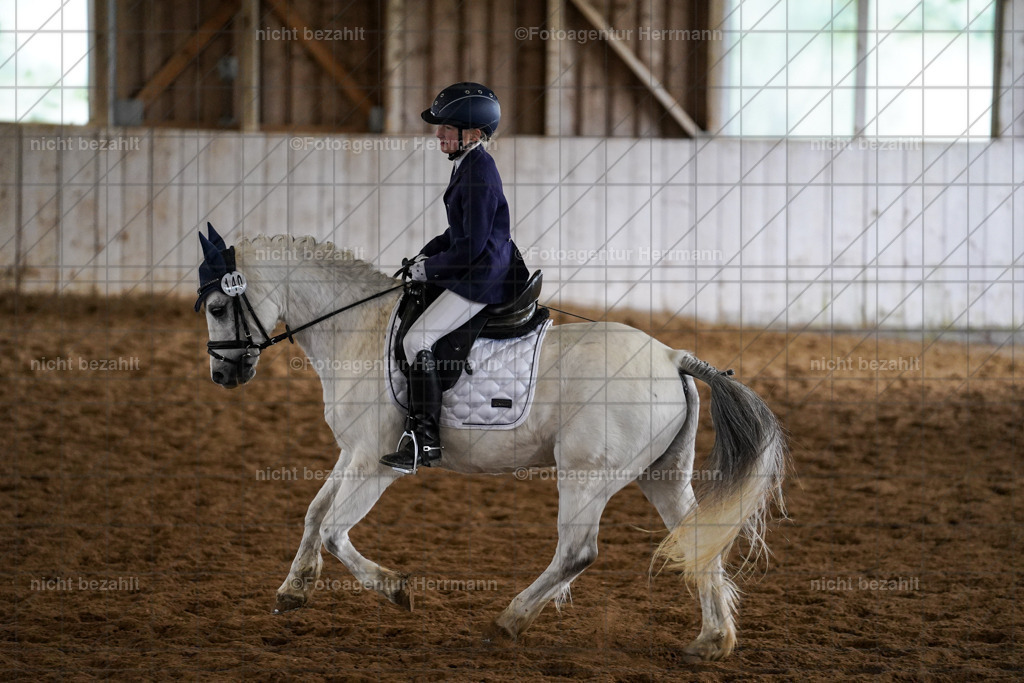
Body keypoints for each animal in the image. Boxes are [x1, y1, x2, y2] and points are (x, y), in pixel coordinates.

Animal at [197, 232, 788, 661]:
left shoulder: (376, 463)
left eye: (218, 307)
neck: (356, 328)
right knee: (700, 540)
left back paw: (508, 622)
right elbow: (314, 513)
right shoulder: (352, 453)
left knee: (577, 551)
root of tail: (671, 357)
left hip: (586, 475)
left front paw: (396, 589)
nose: (223, 375)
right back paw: (711, 642)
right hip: (661, 474)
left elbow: (333, 530)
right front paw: (294, 590)